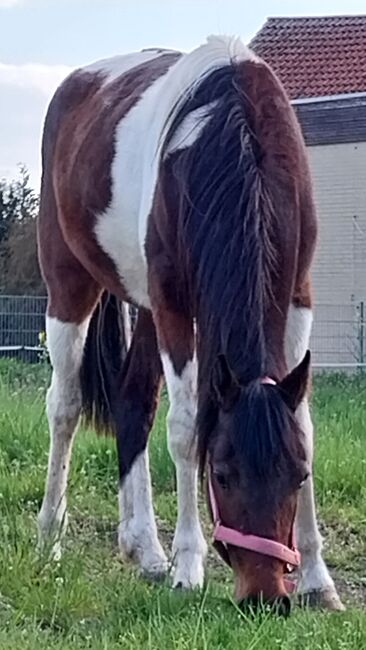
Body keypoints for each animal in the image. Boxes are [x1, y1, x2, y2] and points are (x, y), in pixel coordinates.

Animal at [36, 35, 344, 612]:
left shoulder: (297, 297)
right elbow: (183, 430)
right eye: (220, 474)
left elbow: (304, 423)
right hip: (70, 285)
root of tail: (80, 82)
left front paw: (319, 579)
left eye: (299, 475)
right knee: (64, 407)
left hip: (145, 310)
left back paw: (144, 549)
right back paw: (51, 538)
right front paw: (189, 568)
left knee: (133, 400)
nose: (265, 598)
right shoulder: (175, 303)